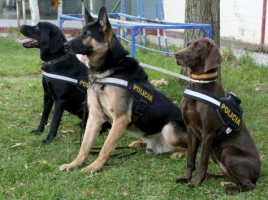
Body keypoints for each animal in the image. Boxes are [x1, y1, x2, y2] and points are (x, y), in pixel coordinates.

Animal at [59, 7, 187, 173]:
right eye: (80, 32)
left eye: (87, 34)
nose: (65, 45)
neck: (107, 72)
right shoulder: (94, 117)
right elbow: (84, 146)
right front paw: (74, 163)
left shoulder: (120, 118)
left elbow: (105, 148)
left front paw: (94, 166)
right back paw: (139, 144)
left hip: (170, 128)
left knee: (190, 148)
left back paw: (178, 153)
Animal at [175, 38, 260, 195]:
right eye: (188, 44)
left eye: (197, 46)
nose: (176, 54)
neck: (199, 84)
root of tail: (259, 174)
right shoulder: (190, 130)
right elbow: (190, 159)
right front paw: (186, 178)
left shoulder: (208, 133)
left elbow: (202, 162)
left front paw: (196, 182)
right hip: (216, 154)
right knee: (229, 176)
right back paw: (213, 176)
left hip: (228, 153)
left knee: (249, 184)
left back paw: (232, 189)